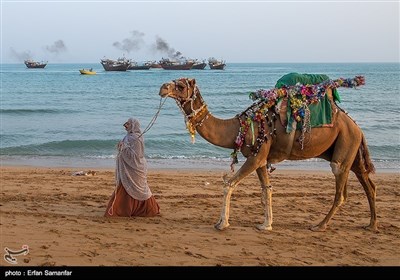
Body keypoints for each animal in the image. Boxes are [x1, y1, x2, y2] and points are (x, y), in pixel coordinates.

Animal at [158, 77, 376, 232]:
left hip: (344, 146)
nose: (162, 87)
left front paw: (222, 223)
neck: (238, 128)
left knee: (341, 191)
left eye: (180, 85)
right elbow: (266, 190)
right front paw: (266, 225)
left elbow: (229, 184)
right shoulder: (262, 160)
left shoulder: (255, 157)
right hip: (350, 152)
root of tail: (357, 128)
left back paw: (319, 225)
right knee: (368, 184)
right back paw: (371, 225)